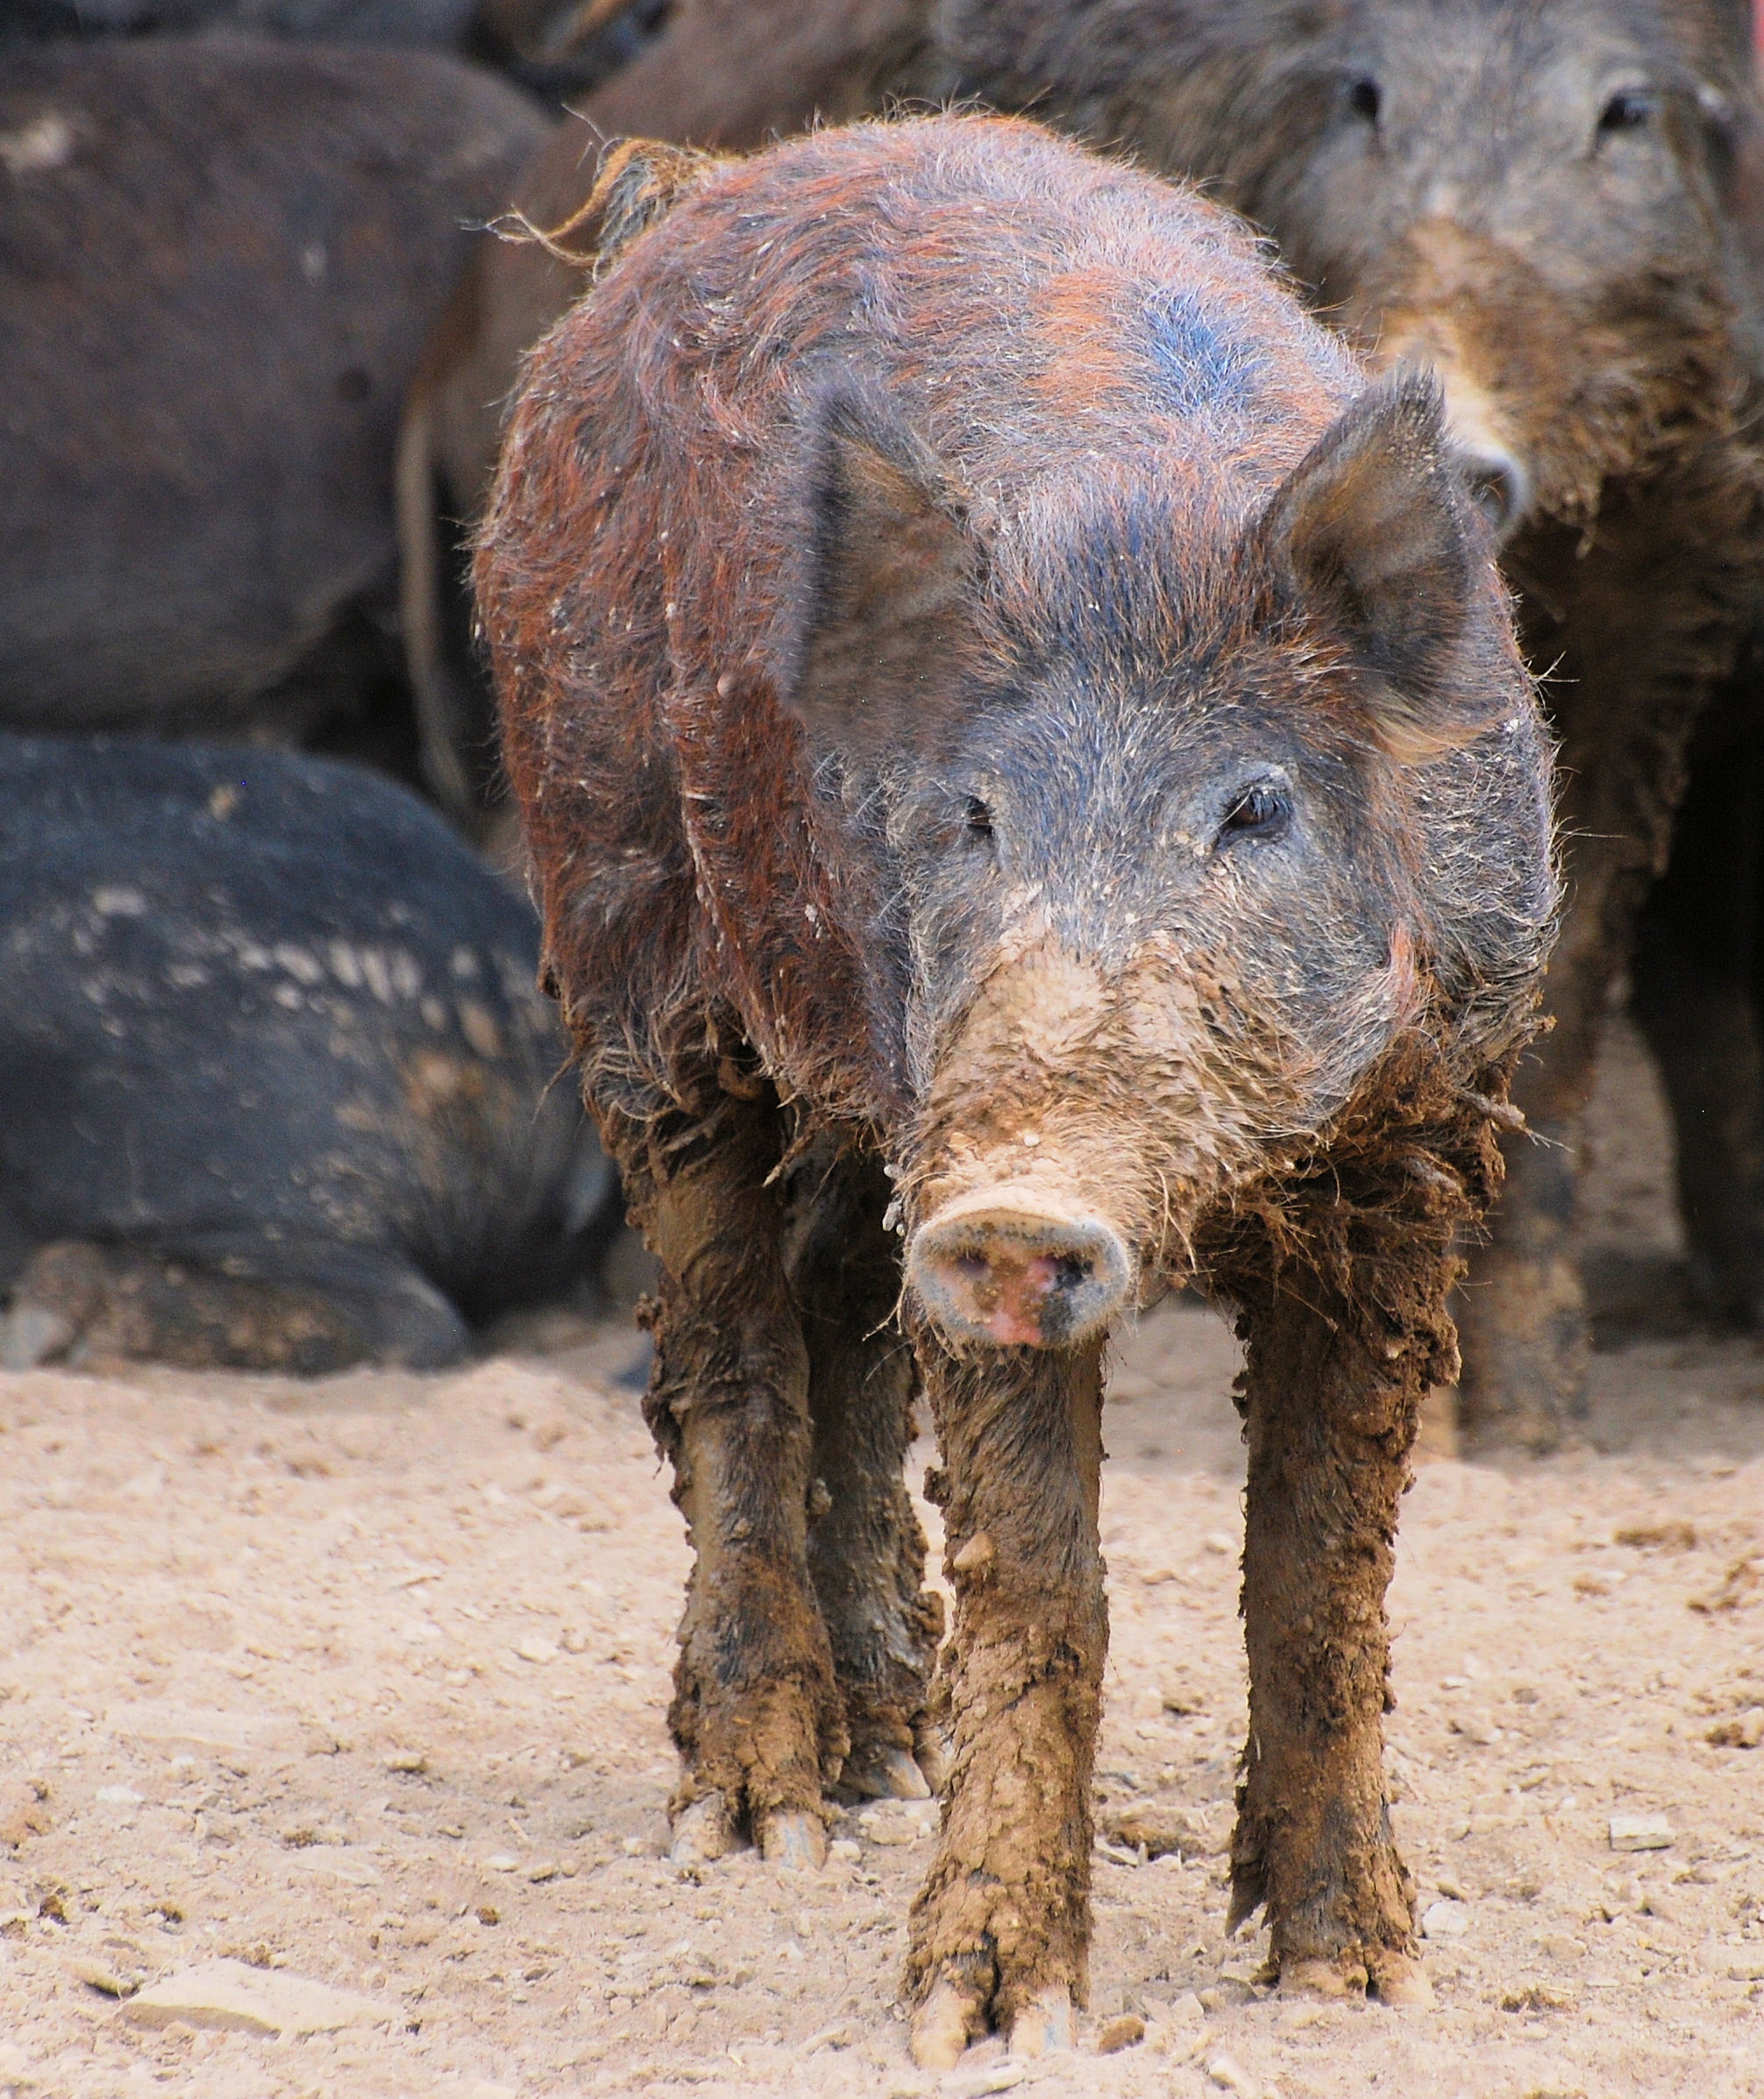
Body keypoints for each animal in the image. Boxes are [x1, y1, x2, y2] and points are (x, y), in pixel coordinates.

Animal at [472, 118, 1554, 2065]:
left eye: (1254, 807)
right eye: (969, 816)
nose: (1016, 1202)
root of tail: (688, 192)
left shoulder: (1424, 1147)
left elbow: (1321, 1565)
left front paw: (1357, 1979)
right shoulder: (945, 1135)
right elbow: (1049, 1574)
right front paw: (981, 2021)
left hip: (849, 1097)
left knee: (833, 1311)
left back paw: (884, 1756)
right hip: (626, 943)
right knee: (723, 1353)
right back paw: (758, 1821)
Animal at [923, 0, 1764, 1444]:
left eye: (1626, 111)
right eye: (1361, 95)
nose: (1453, 439)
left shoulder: (1670, 572)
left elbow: (1573, 958)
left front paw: (1525, 1436)